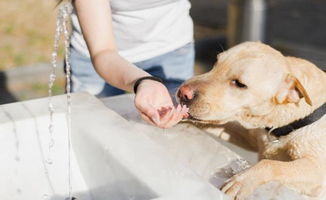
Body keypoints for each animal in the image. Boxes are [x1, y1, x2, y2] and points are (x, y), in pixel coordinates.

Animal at [177, 41, 326, 199]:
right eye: (216, 63)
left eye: (239, 84)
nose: (182, 92)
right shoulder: (249, 137)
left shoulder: (317, 173)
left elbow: (272, 164)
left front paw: (242, 181)